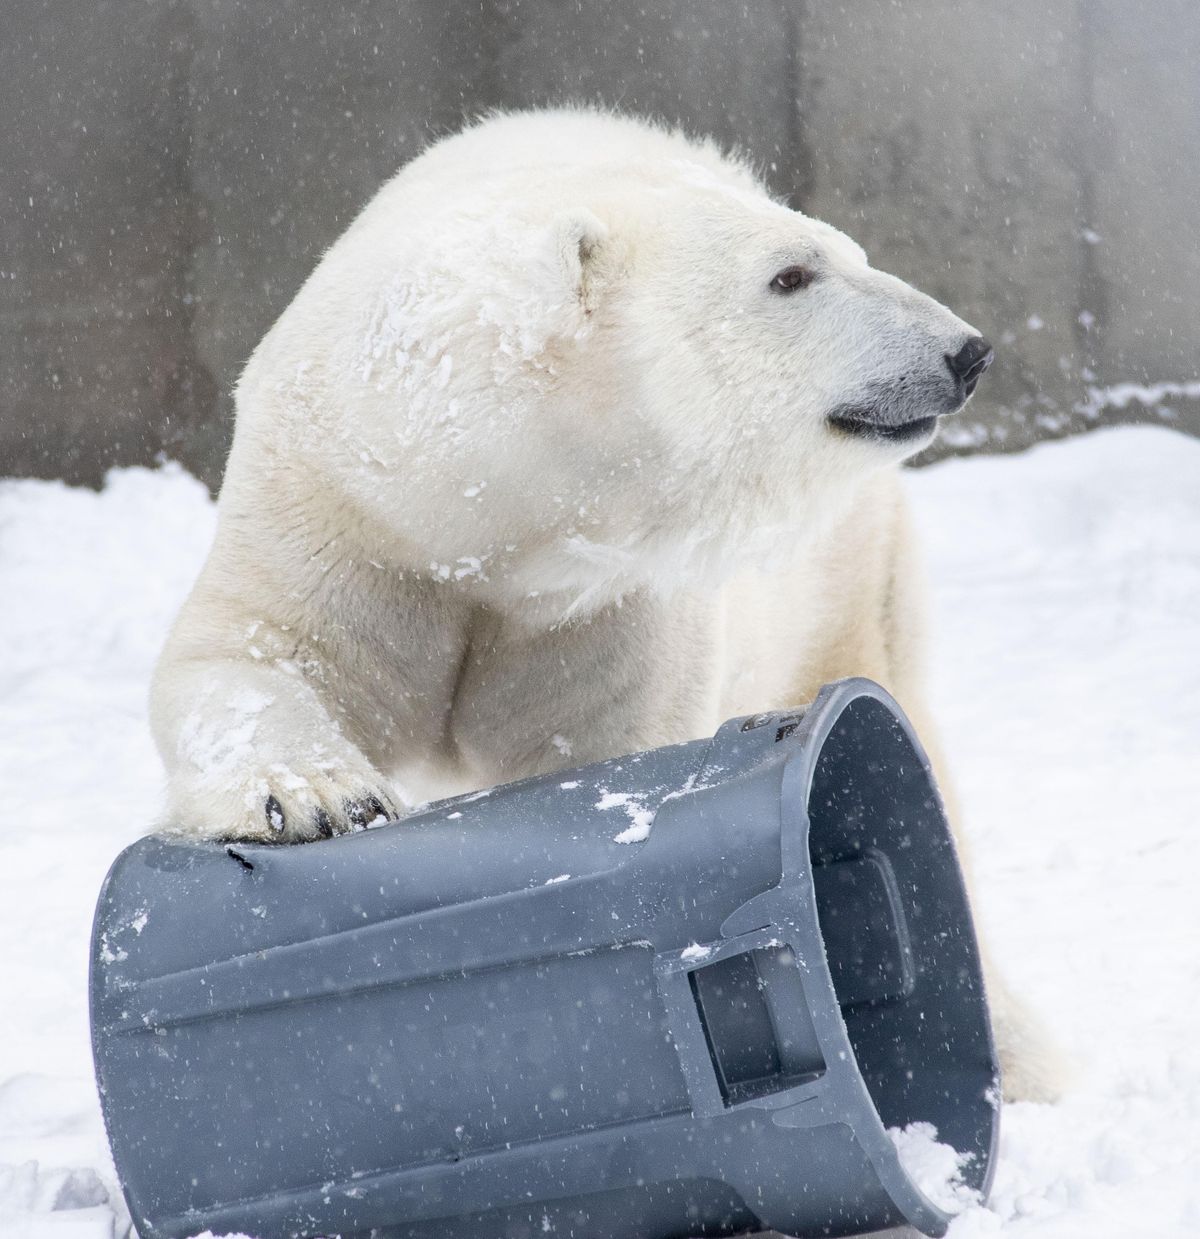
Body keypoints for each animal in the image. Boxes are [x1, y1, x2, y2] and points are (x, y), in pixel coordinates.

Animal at [147, 106, 1060, 1095]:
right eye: (791, 274)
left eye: (844, 252)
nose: (966, 350)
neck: (485, 510)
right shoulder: (343, 510)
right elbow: (249, 649)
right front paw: (316, 799)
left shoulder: (600, 601)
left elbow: (599, 756)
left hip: (847, 568)